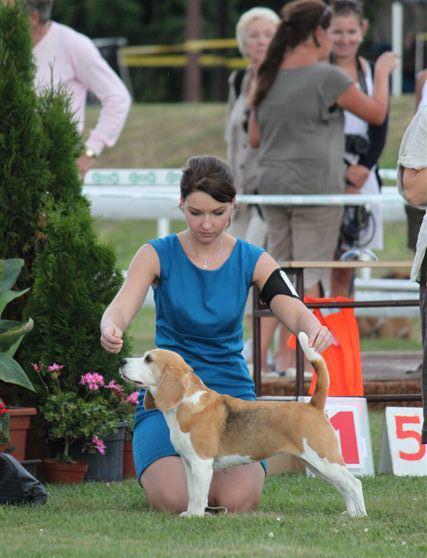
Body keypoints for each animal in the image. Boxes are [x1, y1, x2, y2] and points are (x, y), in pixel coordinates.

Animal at [120, 332, 368, 520]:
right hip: (317, 464)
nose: (122, 361)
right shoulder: (189, 464)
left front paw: (196, 517)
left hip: (324, 460)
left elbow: (199, 495)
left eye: (148, 359)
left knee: (354, 483)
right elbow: (191, 493)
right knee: (344, 486)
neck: (187, 402)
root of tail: (313, 405)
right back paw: (350, 514)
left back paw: (361, 517)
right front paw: (190, 513)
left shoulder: (201, 464)